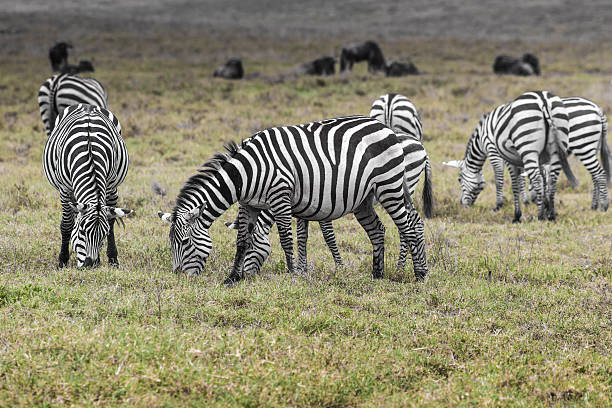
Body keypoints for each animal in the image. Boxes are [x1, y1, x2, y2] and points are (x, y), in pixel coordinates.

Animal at [42, 103, 131, 268]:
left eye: (103, 235)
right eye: (82, 231)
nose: (90, 264)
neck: (90, 155)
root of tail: (87, 105)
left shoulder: (111, 186)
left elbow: (111, 222)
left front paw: (112, 259)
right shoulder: (65, 190)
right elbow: (67, 225)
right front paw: (62, 260)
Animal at [158, 114, 426, 280]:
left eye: (184, 243)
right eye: (171, 244)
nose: (179, 276)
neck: (247, 173)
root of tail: (386, 127)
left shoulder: (281, 196)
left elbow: (287, 239)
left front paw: (293, 274)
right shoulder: (248, 204)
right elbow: (242, 240)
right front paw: (233, 278)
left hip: (389, 186)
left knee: (410, 226)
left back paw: (418, 274)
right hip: (364, 199)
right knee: (378, 230)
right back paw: (377, 274)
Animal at [440, 90, 580, 222]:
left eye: (459, 179)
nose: (462, 205)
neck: (481, 137)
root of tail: (543, 100)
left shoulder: (495, 151)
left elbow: (502, 180)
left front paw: (500, 207)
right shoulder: (529, 157)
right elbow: (528, 179)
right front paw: (535, 203)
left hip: (528, 146)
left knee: (537, 178)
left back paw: (540, 216)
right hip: (554, 147)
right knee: (553, 178)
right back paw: (551, 215)